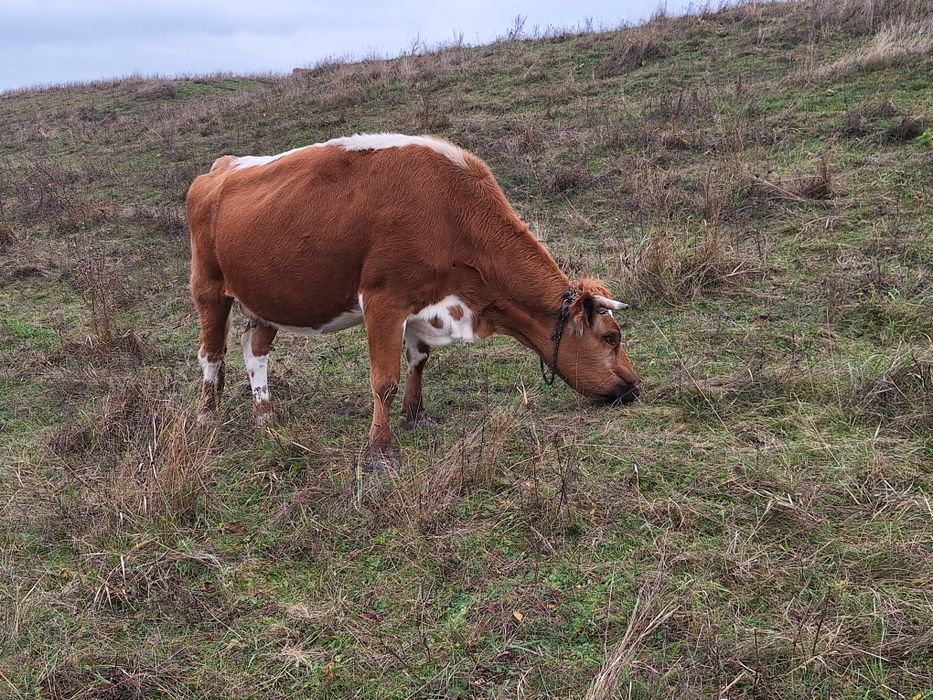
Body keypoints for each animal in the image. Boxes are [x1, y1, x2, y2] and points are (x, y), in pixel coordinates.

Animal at [187, 133, 640, 468]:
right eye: (611, 338)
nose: (634, 386)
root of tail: (221, 167)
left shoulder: (423, 303)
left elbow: (418, 361)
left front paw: (416, 414)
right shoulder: (383, 299)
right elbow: (383, 380)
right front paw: (379, 450)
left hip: (267, 298)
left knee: (254, 350)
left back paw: (266, 415)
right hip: (208, 287)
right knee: (211, 354)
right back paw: (207, 415)